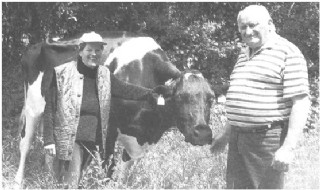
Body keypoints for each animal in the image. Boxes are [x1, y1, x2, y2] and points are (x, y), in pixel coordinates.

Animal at [15, 31, 215, 187]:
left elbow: (123, 176)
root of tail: (38, 44)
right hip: (33, 106)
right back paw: (18, 181)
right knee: (25, 144)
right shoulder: (109, 130)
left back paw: (50, 180)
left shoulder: (138, 142)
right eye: (180, 97)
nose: (203, 133)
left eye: (211, 98)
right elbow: (107, 171)